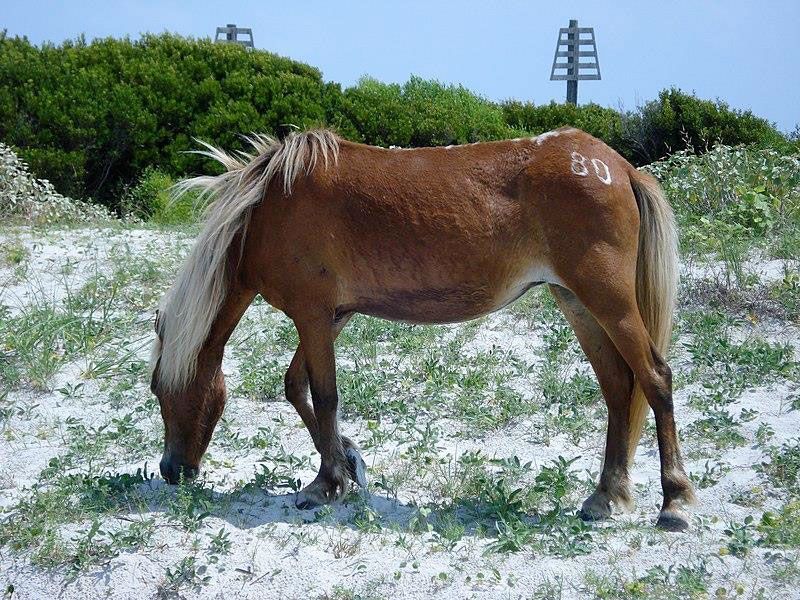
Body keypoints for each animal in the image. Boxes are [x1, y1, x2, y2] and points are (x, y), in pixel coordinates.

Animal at [148, 126, 692, 528]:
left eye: (157, 389)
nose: (171, 471)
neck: (268, 209)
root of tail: (618, 167)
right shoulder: (332, 317)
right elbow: (298, 386)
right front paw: (348, 462)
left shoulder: (313, 315)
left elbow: (323, 395)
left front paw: (325, 483)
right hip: (579, 304)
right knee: (619, 388)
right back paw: (606, 495)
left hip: (609, 302)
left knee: (655, 379)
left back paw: (675, 502)